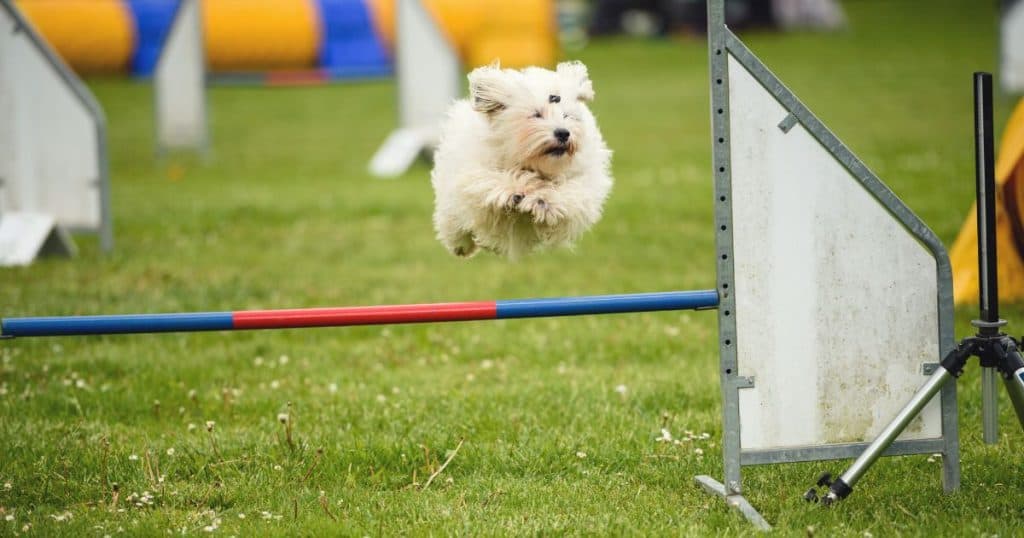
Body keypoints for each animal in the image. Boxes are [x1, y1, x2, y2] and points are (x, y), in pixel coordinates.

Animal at [430, 60, 610, 258]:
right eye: (536, 114)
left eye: (567, 116)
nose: (563, 133)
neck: (532, 164)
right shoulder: (474, 171)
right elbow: (488, 181)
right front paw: (514, 190)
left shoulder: (583, 181)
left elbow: (572, 193)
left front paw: (544, 200)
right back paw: (461, 245)